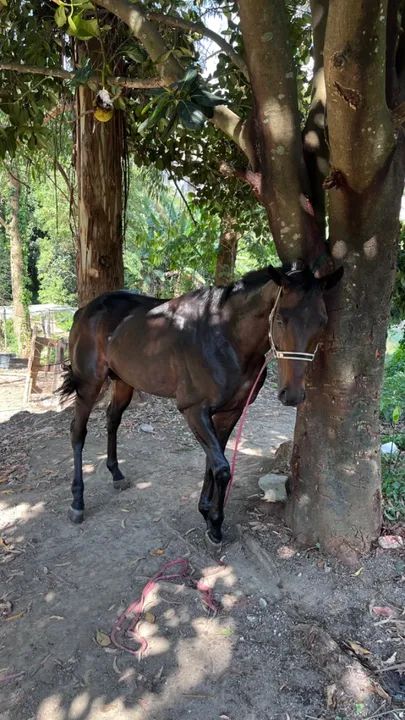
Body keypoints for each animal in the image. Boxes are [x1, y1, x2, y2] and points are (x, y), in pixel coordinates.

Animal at [59, 262, 343, 544]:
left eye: (322, 321)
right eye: (281, 318)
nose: (292, 395)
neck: (225, 337)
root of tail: (84, 311)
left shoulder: (230, 412)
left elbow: (213, 463)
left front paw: (206, 512)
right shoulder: (194, 410)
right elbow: (222, 468)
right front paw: (215, 524)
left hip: (123, 382)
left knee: (112, 419)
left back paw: (116, 475)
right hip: (89, 384)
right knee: (77, 432)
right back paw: (77, 502)